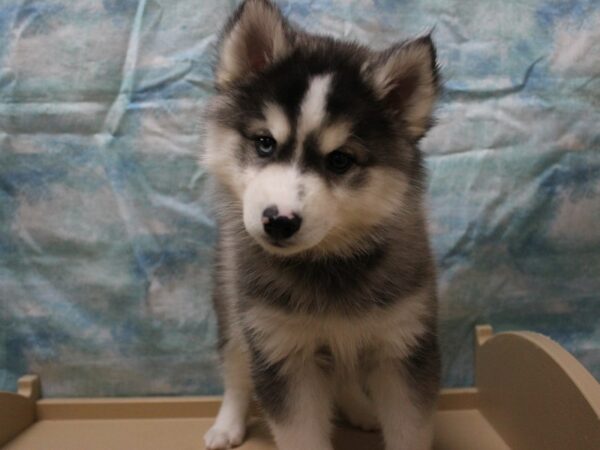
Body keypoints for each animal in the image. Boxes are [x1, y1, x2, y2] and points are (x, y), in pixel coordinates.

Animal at [202, 1, 440, 448]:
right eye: (265, 143)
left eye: (340, 160)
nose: (279, 221)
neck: (328, 263)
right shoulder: (279, 348)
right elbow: (299, 429)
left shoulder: (403, 343)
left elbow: (410, 427)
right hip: (232, 305)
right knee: (236, 367)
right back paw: (227, 424)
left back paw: (360, 410)